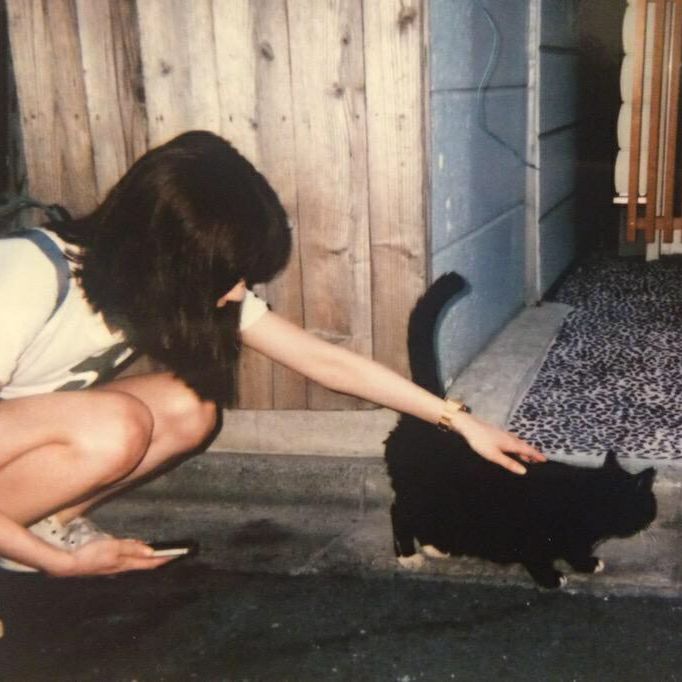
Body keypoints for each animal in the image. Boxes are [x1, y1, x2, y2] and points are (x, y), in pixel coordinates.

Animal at [382, 270, 652, 584]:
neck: (588, 498)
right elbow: (537, 557)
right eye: (648, 502)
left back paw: (435, 546)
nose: (650, 518)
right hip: (418, 495)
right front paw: (552, 578)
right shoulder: (531, 534)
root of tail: (430, 411)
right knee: (399, 512)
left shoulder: (573, 540)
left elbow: (574, 551)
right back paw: (409, 555)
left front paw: (586, 564)